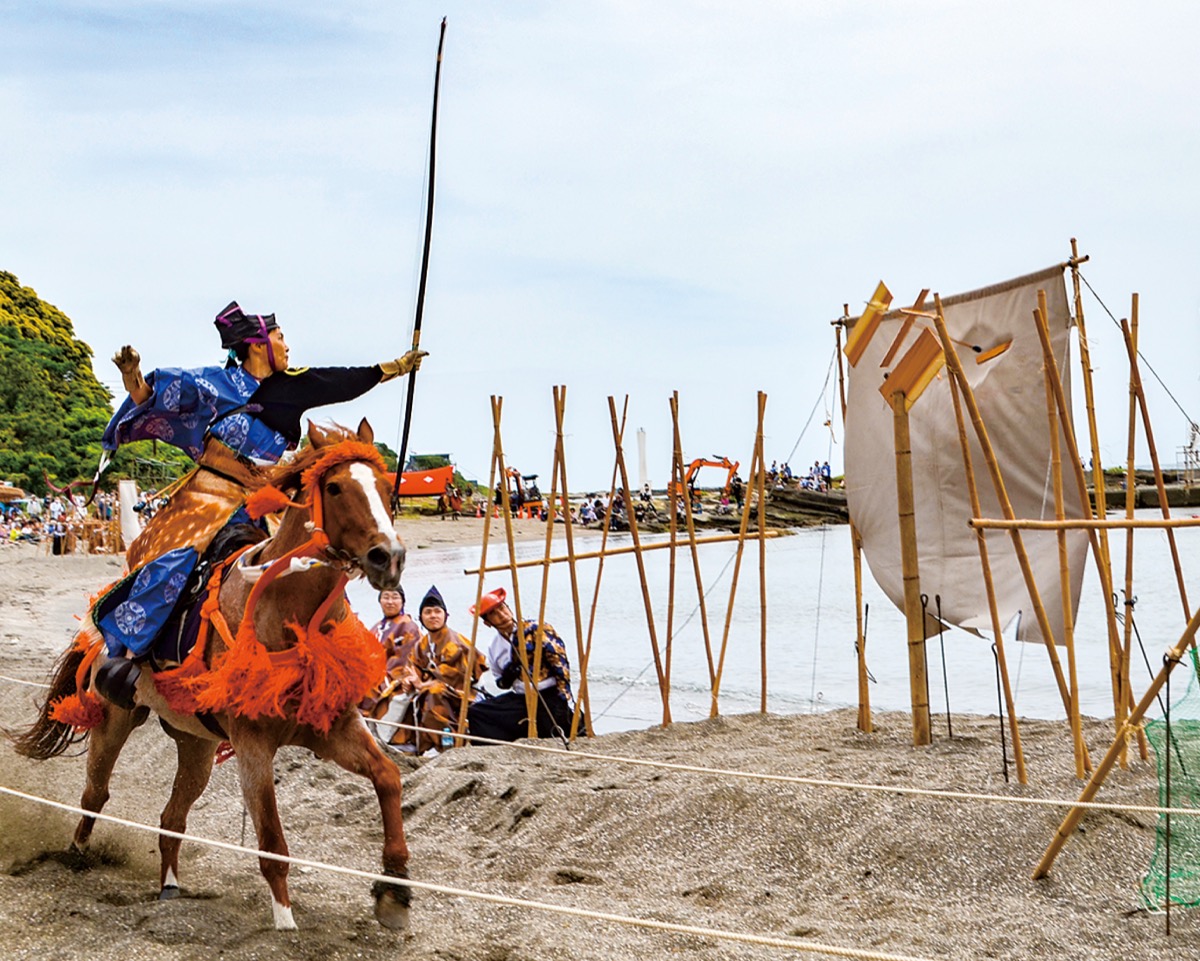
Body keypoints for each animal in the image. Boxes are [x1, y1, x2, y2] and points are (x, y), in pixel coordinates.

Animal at [11, 417, 415, 931]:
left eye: (385, 487)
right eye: (335, 487)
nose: (389, 557)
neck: (287, 616)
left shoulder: (334, 728)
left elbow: (388, 777)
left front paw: (395, 890)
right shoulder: (252, 744)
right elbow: (272, 842)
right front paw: (285, 924)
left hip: (196, 745)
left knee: (171, 819)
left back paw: (169, 887)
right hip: (114, 719)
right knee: (94, 795)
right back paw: (77, 854)